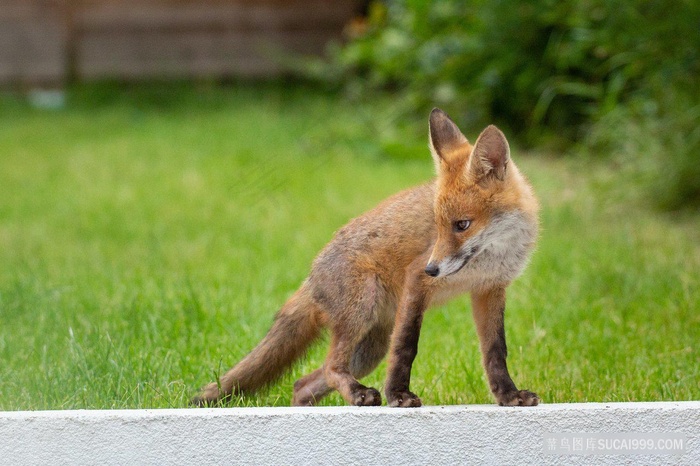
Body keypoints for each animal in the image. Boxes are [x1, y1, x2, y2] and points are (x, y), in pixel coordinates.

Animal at [193, 108, 540, 408]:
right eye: (438, 226)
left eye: (462, 225)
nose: (433, 269)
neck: (494, 253)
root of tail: (311, 277)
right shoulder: (416, 280)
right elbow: (406, 347)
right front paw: (398, 395)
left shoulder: (489, 289)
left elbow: (495, 351)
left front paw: (508, 395)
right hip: (363, 307)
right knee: (331, 367)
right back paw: (359, 394)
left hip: (369, 350)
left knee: (303, 383)